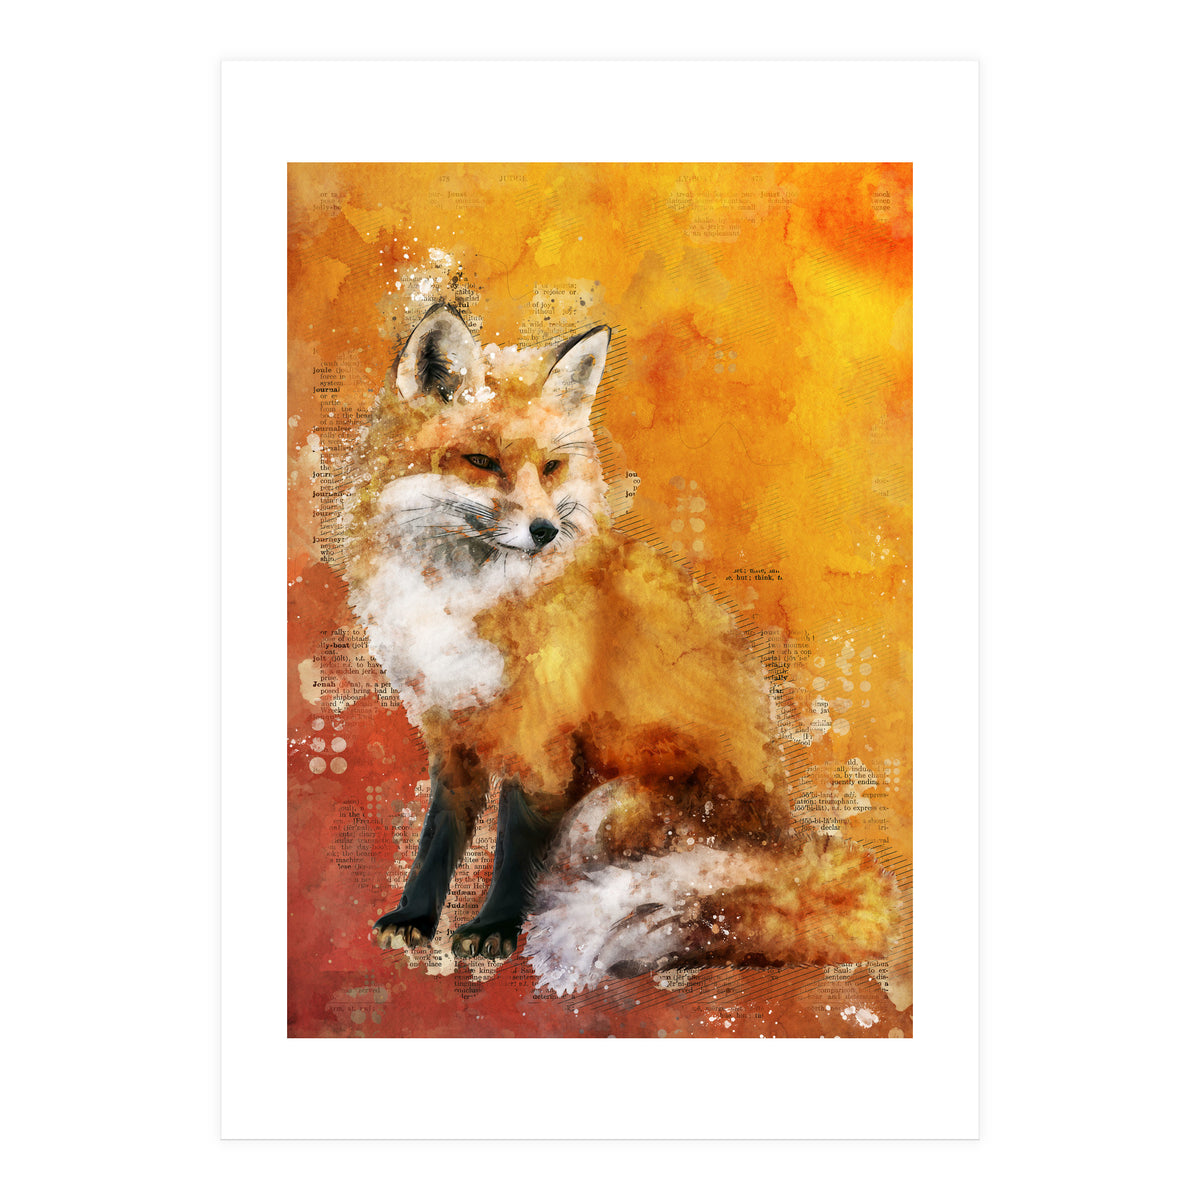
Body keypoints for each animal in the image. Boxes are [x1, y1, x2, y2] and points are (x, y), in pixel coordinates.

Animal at [342, 301, 899, 995]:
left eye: (551, 468)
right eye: (480, 461)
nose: (545, 531)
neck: (466, 598)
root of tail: (783, 839)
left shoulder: (545, 742)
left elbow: (515, 849)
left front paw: (495, 928)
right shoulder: (451, 731)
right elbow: (437, 839)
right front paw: (415, 918)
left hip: (611, 802)